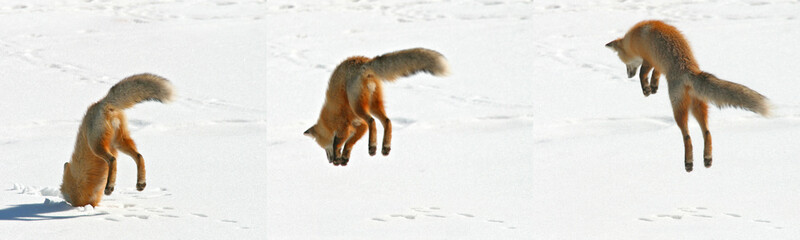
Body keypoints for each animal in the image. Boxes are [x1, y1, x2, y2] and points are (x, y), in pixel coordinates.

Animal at [61, 73, 175, 206]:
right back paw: (140, 183)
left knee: (112, 160)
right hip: (120, 142)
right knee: (139, 156)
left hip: (96, 144)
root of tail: (104, 102)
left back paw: (109, 187)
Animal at [304, 47, 450, 166]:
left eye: (323, 147)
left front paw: (338, 158)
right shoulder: (359, 127)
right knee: (387, 121)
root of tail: (363, 63)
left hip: (357, 106)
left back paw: (372, 146)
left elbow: (338, 143)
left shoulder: (344, 126)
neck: (328, 119)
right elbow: (350, 143)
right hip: (374, 106)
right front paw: (344, 158)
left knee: (372, 121)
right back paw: (384, 147)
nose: (329, 161)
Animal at [608, 19, 772, 172]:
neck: (636, 37)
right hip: (698, 107)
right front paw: (653, 87)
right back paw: (707, 158)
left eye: (623, 62)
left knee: (687, 137)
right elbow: (656, 74)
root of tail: (690, 70)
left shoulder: (648, 59)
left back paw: (688, 163)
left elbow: (643, 74)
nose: (628, 76)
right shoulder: (658, 63)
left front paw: (646, 90)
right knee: (707, 132)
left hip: (678, 109)